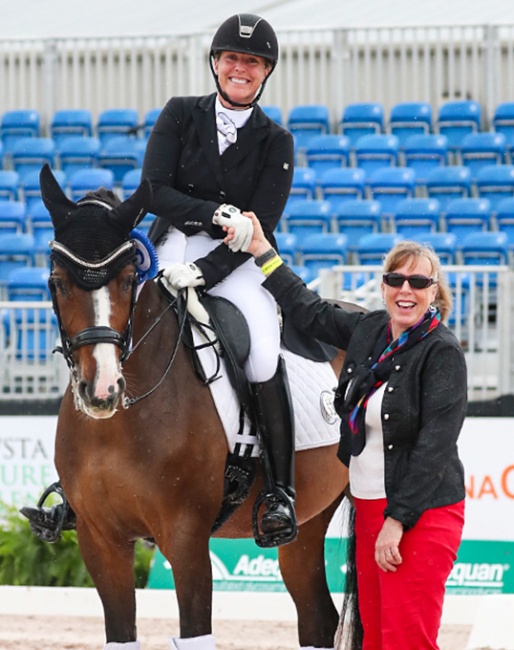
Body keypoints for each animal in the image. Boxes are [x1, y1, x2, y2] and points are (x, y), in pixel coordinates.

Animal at [35, 163, 360, 648]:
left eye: (129, 281)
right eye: (57, 283)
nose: (102, 389)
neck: (123, 419)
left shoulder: (186, 538)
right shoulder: (101, 541)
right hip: (309, 522)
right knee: (317, 618)